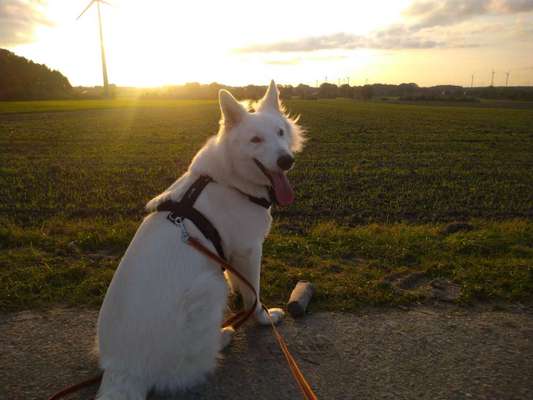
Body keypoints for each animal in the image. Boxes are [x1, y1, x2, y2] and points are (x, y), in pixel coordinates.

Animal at [94, 79, 304, 398]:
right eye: (255, 140)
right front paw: (262, 319)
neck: (231, 180)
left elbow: (241, 284)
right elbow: (253, 294)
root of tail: (123, 370)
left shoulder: (231, 254)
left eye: (280, 132)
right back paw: (224, 336)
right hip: (210, 287)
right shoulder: (249, 250)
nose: (286, 161)